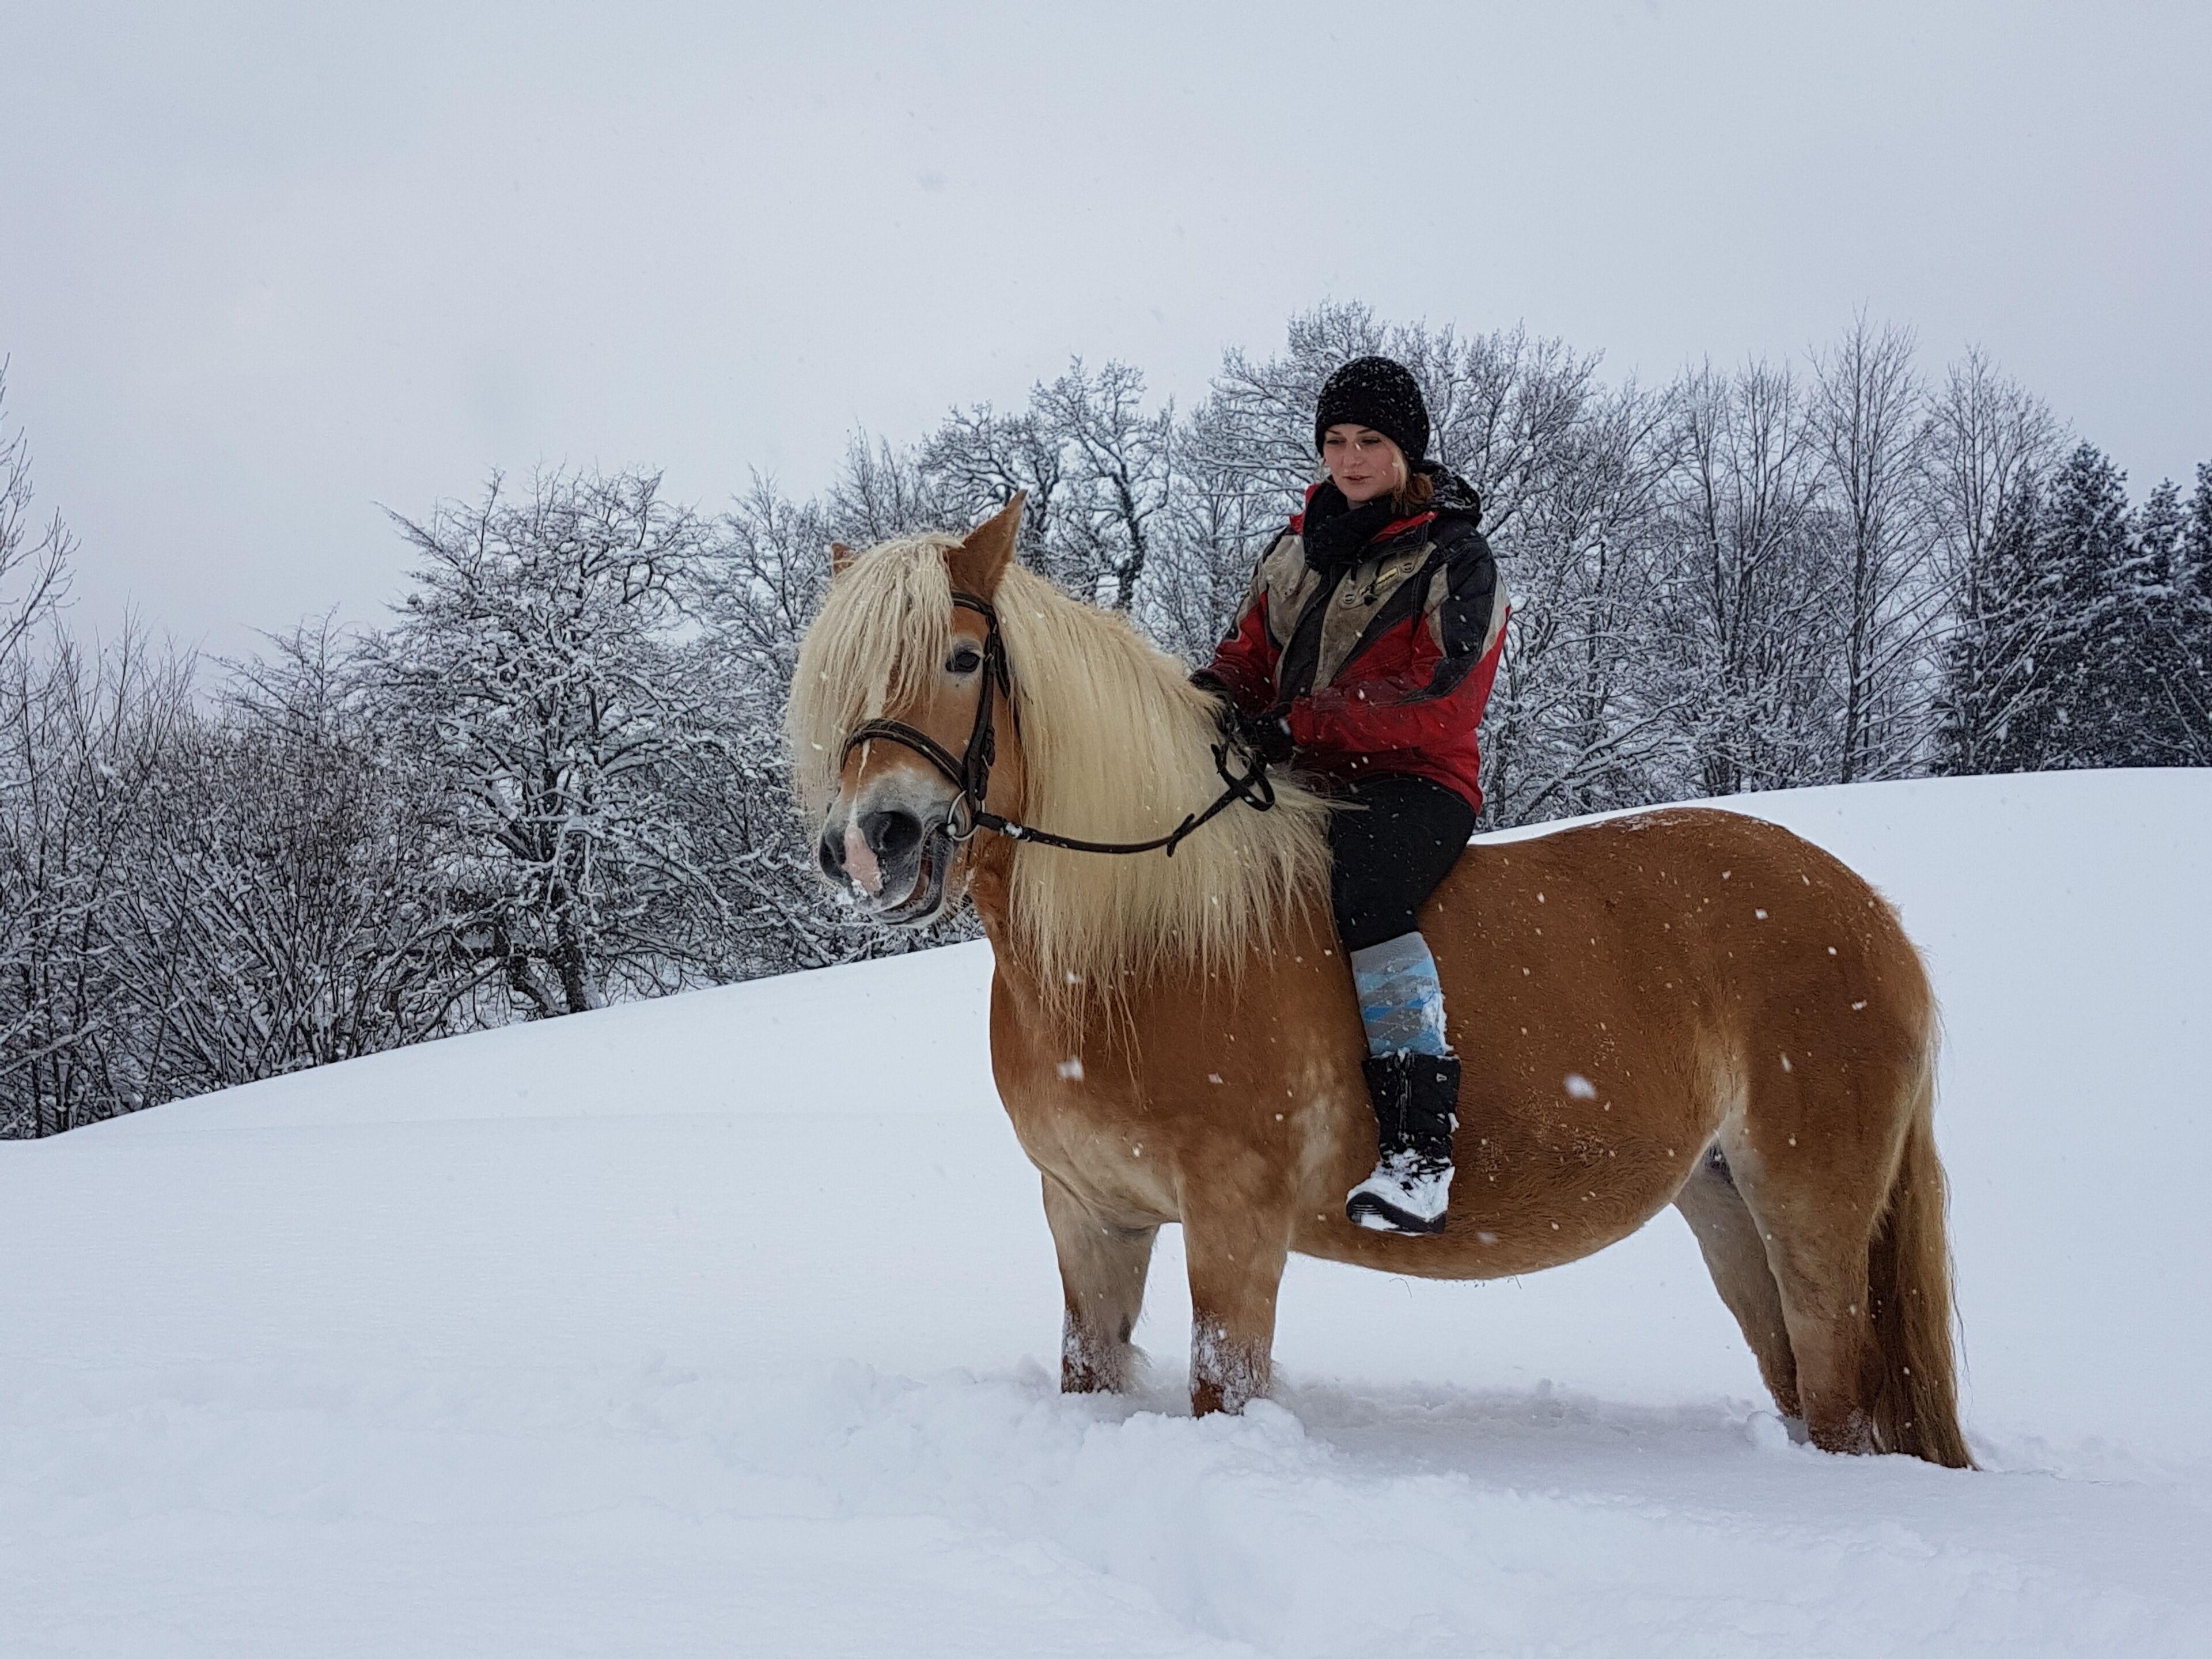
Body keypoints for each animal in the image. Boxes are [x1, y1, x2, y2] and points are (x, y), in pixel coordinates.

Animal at [786, 497, 1971, 1468]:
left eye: (962, 658)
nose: (873, 845)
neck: (1140, 939)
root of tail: (1877, 920)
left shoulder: (1236, 1222)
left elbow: (1223, 1386)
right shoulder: (1090, 1216)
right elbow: (1091, 1363)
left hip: (1811, 1208)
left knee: (1835, 1388)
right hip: (1722, 1203)